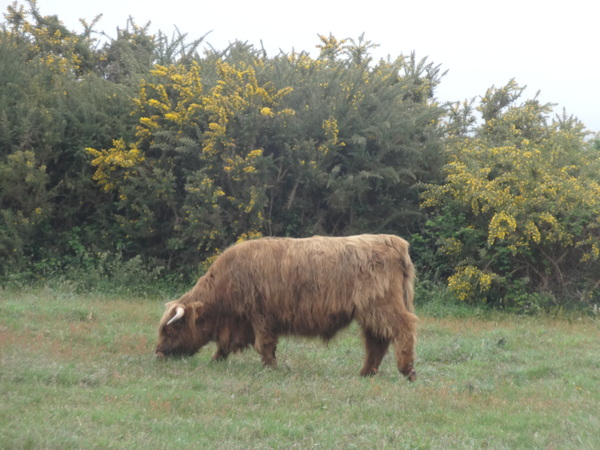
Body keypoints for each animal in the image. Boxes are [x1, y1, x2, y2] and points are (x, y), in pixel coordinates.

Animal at [155, 236, 418, 380]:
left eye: (171, 329)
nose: (158, 354)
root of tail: (394, 242)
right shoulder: (241, 322)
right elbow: (225, 346)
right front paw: (215, 360)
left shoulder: (260, 315)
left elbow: (264, 345)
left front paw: (271, 368)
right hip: (370, 312)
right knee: (377, 341)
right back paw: (366, 373)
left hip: (382, 306)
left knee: (403, 329)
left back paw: (407, 371)